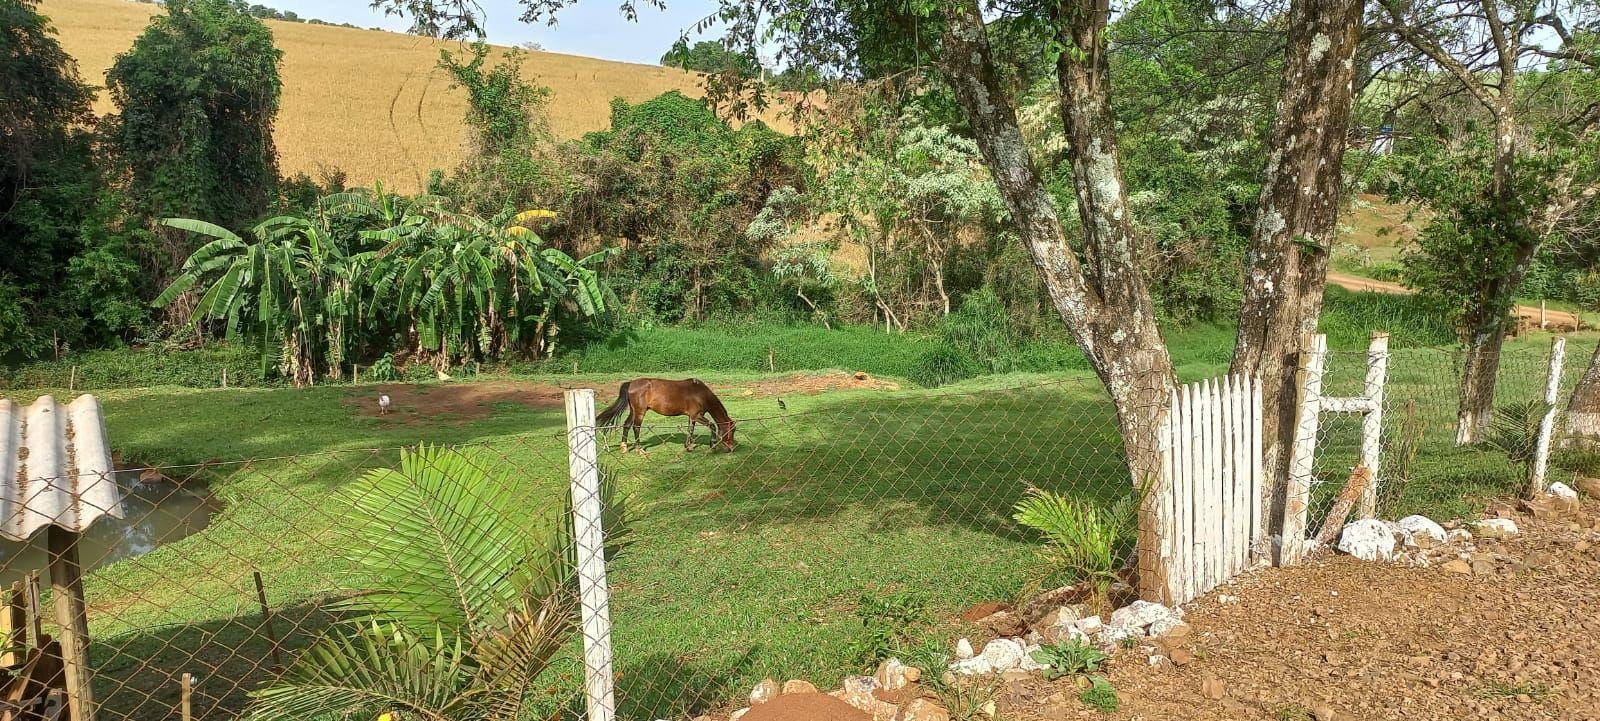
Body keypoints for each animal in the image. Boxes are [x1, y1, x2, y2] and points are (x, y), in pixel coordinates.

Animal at [595, 378, 736, 450]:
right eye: (732, 430)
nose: (731, 448)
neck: (700, 394)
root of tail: (630, 383)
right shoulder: (697, 415)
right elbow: (712, 425)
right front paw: (712, 444)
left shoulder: (692, 416)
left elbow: (690, 430)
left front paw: (688, 446)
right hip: (640, 411)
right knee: (636, 427)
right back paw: (640, 449)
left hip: (634, 410)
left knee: (626, 425)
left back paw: (624, 448)